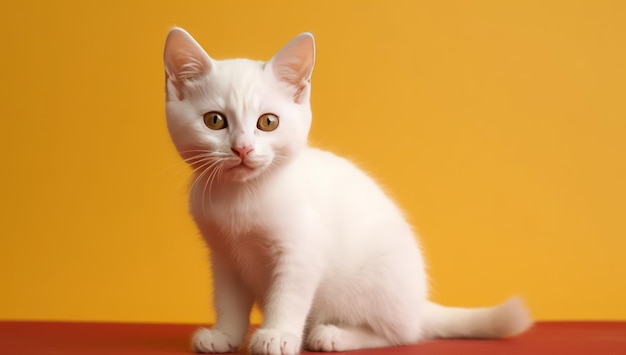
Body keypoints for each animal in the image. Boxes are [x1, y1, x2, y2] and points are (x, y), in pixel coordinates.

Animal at [163, 28, 528, 355]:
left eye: (268, 122)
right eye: (214, 120)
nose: (242, 149)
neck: (241, 198)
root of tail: (418, 303)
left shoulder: (302, 251)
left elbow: (288, 295)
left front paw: (277, 335)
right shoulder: (224, 257)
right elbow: (228, 301)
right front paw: (224, 335)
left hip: (373, 285)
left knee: (400, 335)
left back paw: (334, 335)